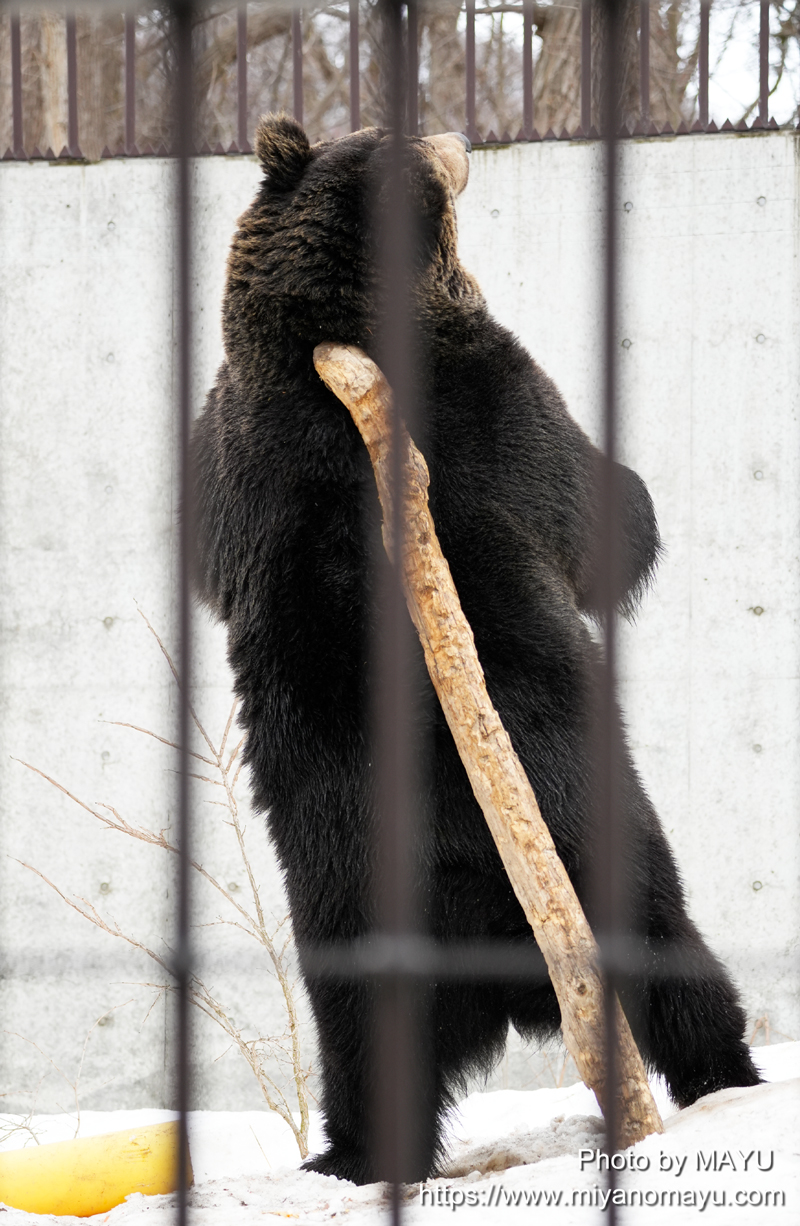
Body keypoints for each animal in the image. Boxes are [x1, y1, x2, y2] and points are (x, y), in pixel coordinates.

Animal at [191, 114, 761, 1185]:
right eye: (396, 129)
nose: (459, 133)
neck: (330, 347)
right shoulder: (494, 402)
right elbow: (601, 520)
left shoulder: (236, 462)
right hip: (598, 845)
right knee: (677, 962)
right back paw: (729, 1082)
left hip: (343, 914)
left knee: (366, 1053)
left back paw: (347, 1159)